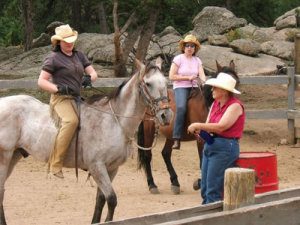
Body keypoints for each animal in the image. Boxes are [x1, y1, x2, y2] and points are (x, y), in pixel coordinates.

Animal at [0, 58, 172, 223]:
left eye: (165, 82)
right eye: (148, 83)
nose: (166, 115)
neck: (114, 121)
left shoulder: (111, 168)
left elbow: (101, 199)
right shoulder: (97, 167)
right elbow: (112, 199)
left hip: (14, 155)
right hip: (5, 157)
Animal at [137, 60, 238, 194]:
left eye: (236, 82)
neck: (206, 104)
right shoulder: (201, 138)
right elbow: (202, 161)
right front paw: (199, 183)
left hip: (170, 135)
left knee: (165, 153)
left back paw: (175, 182)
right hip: (149, 129)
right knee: (147, 155)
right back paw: (152, 184)